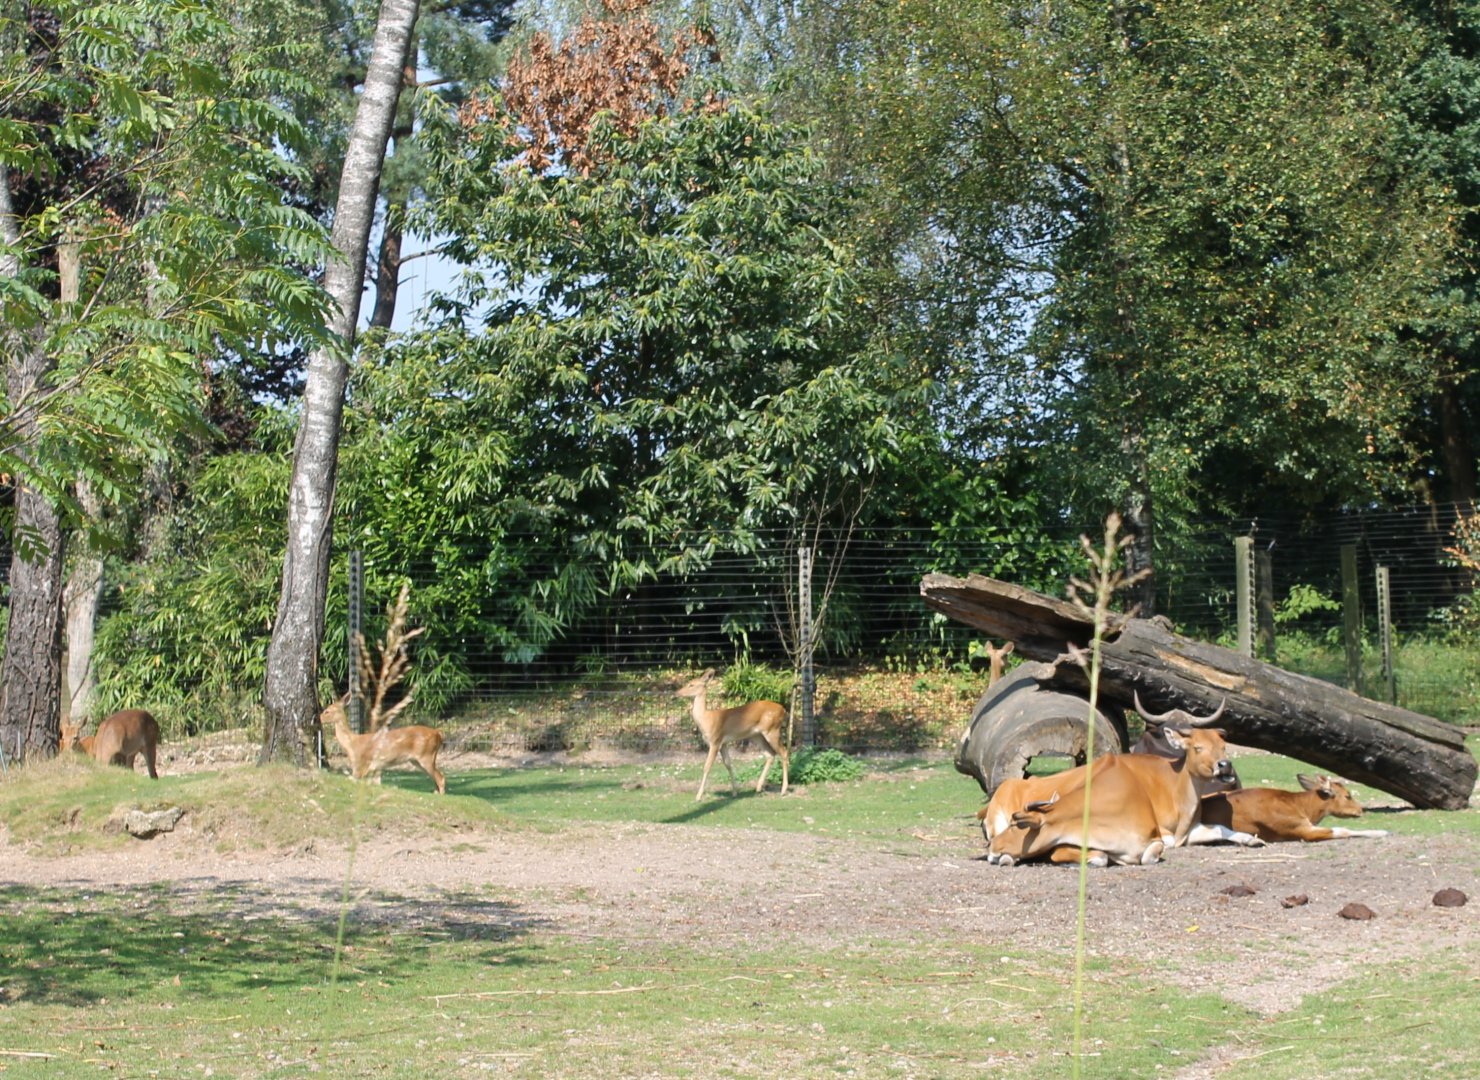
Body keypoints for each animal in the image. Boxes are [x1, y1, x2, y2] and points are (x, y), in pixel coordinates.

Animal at [677, 668, 789, 801]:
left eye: (691, 684)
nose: (677, 693)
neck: (706, 719)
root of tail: (784, 710)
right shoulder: (724, 743)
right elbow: (728, 764)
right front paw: (735, 791)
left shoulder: (715, 740)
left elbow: (707, 766)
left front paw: (698, 796)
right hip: (756, 735)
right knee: (770, 754)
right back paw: (758, 787)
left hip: (772, 729)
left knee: (783, 752)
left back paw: (783, 790)